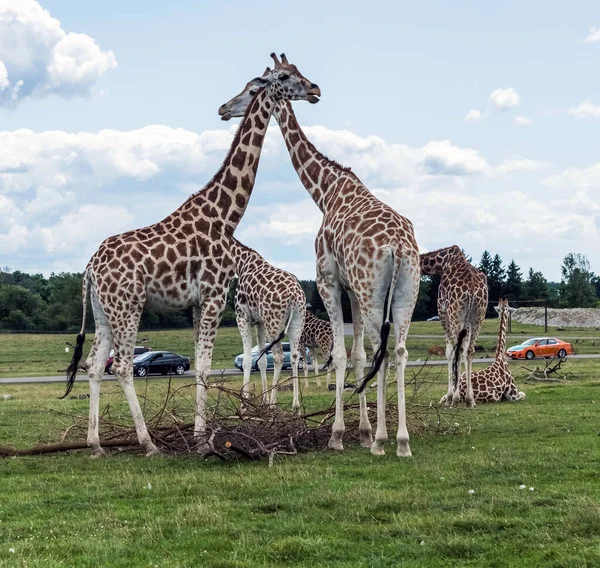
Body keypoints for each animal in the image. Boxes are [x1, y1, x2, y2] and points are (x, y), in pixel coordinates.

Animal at [229, 237, 308, 410]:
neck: (241, 263)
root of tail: (294, 296)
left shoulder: (242, 316)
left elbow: (247, 359)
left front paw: (244, 403)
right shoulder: (260, 322)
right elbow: (262, 360)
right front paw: (263, 401)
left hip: (274, 322)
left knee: (279, 356)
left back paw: (273, 404)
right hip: (297, 321)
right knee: (294, 356)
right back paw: (295, 406)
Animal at [420, 246, 490, 406]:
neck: (442, 262)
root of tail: (472, 288)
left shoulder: (442, 312)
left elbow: (449, 352)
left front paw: (449, 396)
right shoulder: (468, 320)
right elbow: (463, 351)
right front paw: (467, 396)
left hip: (454, 314)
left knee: (458, 349)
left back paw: (455, 398)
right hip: (479, 314)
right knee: (469, 350)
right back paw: (470, 399)